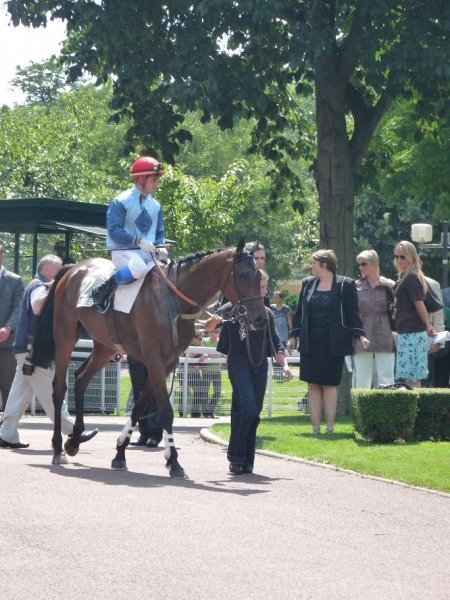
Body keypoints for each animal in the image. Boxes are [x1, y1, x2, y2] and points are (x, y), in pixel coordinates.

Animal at [31, 239, 268, 478]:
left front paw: (120, 452)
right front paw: (173, 461)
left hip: (105, 347)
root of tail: (73, 269)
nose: (260, 319)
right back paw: (58, 447)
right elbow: (165, 410)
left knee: (81, 378)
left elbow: (140, 407)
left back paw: (75, 440)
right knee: (59, 387)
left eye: (259, 275)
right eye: (243, 275)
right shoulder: (154, 358)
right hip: (65, 337)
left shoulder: (168, 362)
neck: (173, 299)